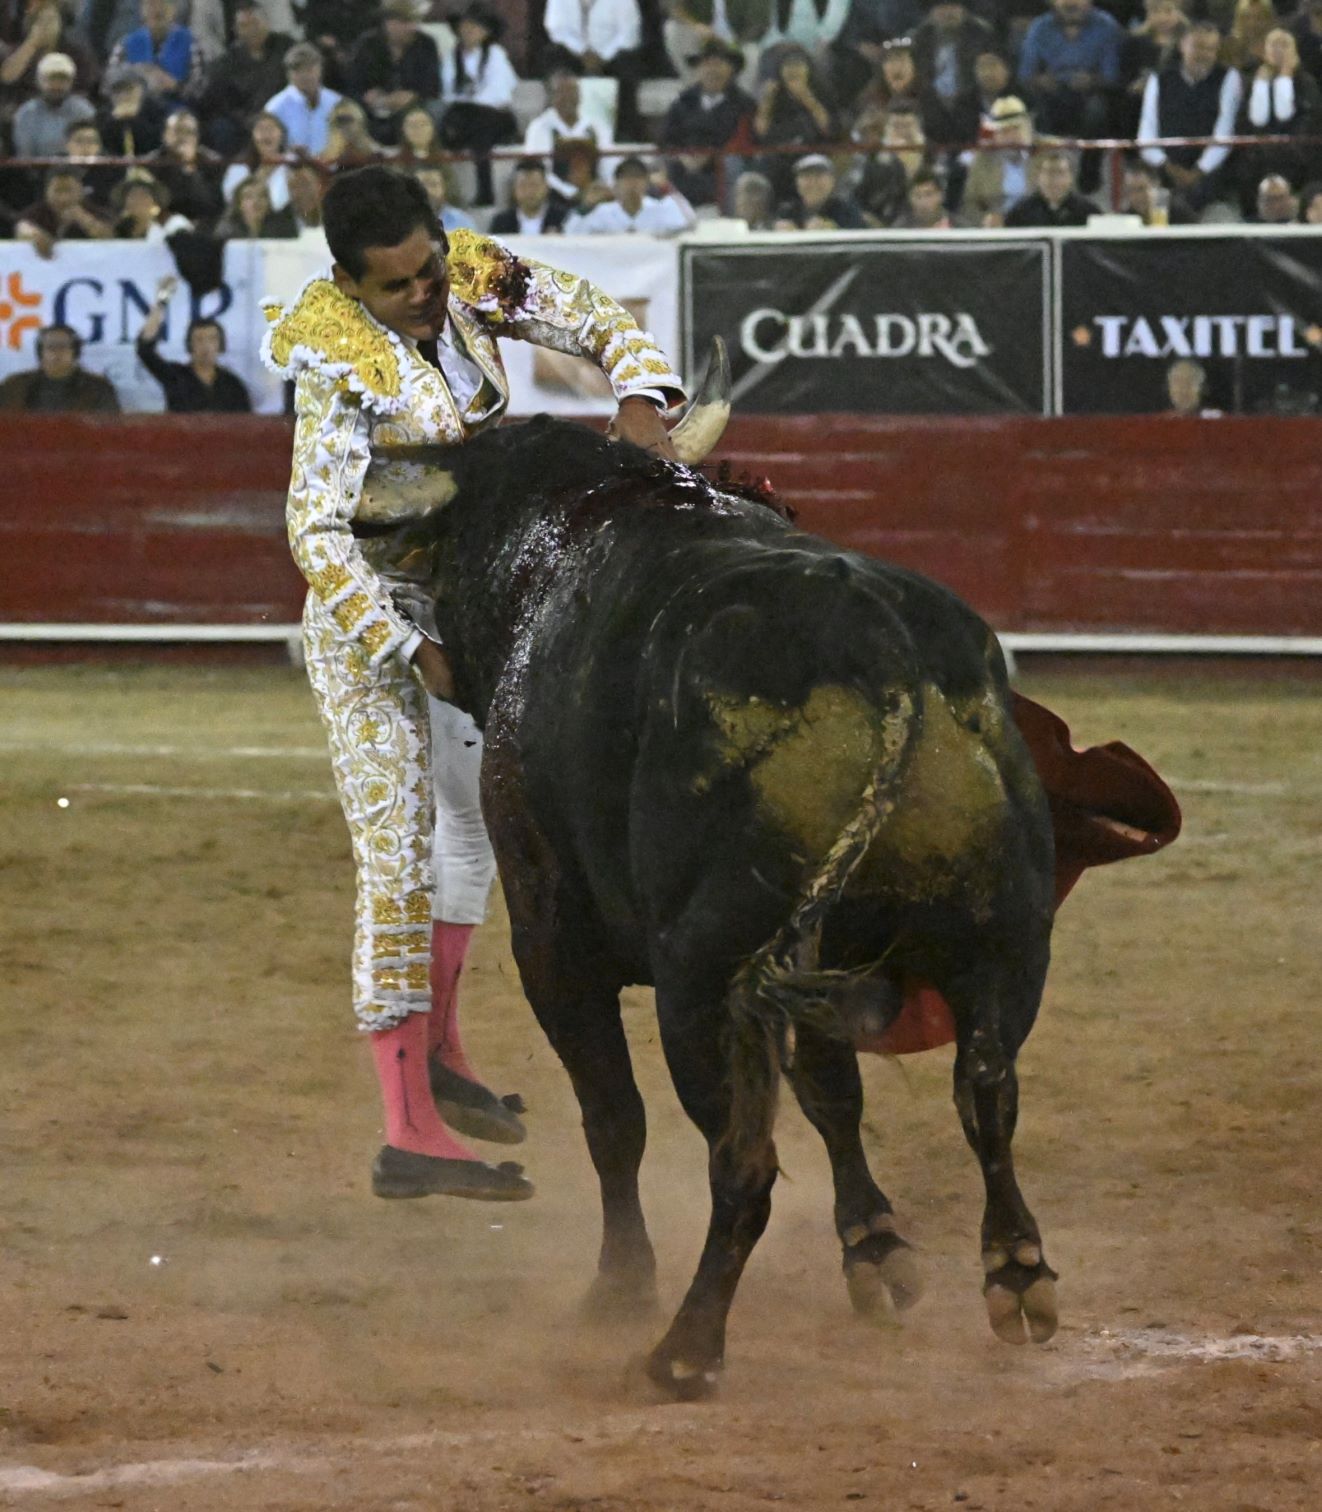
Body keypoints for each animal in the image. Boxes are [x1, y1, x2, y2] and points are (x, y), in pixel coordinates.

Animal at [357, 355, 1177, 1398]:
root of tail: (883, 646)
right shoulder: (830, 961)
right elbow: (836, 1093)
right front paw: (875, 1249)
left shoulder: (552, 937)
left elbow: (614, 1117)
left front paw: (619, 1285)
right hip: (995, 935)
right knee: (986, 1091)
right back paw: (1017, 1273)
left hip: (708, 978)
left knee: (741, 1162)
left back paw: (683, 1347)